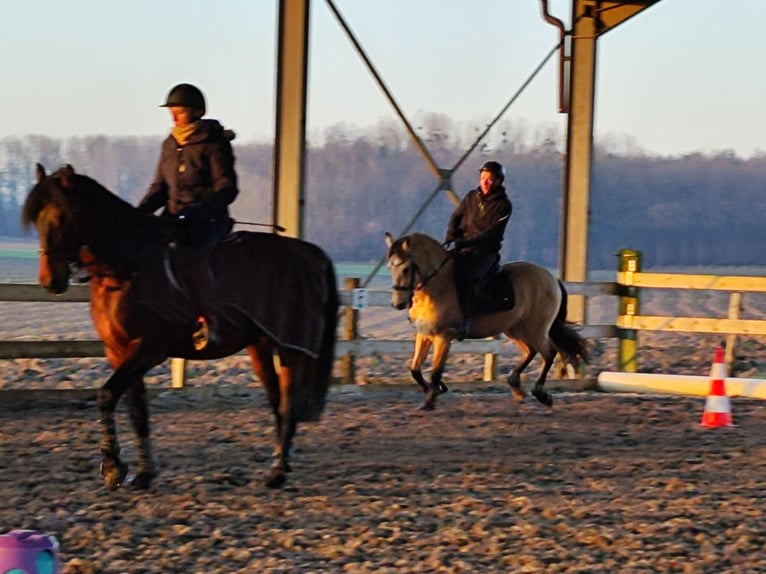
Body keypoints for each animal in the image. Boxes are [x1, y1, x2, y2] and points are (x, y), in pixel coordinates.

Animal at [21, 164, 340, 492]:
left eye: (62, 217)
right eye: (36, 219)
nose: (50, 281)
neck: (127, 266)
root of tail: (310, 252)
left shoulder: (149, 348)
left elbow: (107, 395)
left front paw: (112, 468)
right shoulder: (117, 350)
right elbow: (136, 409)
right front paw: (144, 474)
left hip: (291, 346)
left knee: (289, 403)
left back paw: (277, 472)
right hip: (260, 345)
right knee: (277, 401)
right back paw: (280, 465)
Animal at [388, 233, 592, 414]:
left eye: (405, 269)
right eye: (390, 268)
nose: (398, 304)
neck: (436, 286)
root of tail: (551, 279)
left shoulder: (444, 337)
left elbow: (436, 371)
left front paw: (430, 400)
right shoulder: (424, 334)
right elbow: (415, 369)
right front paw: (435, 390)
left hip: (536, 328)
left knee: (548, 352)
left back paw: (541, 394)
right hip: (515, 329)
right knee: (531, 351)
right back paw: (516, 387)